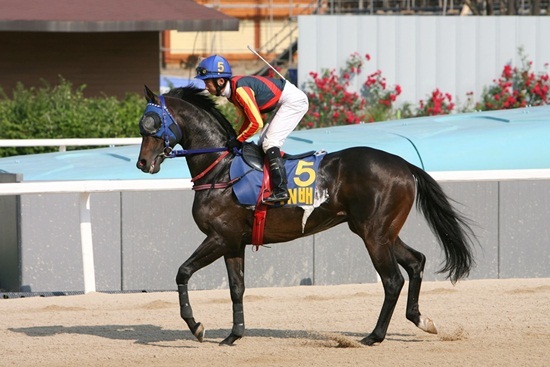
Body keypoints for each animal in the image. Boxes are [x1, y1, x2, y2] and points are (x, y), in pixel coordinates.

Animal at [136, 85, 476, 348]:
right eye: (142, 125)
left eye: (152, 123)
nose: (143, 163)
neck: (220, 169)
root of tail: (404, 164)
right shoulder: (233, 242)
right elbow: (236, 289)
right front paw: (234, 335)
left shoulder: (219, 237)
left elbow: (182, 272)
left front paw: (196, 326)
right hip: (382, 231)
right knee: (416, 262)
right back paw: (421, 320)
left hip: (374, 235)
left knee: (392, 280)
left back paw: (374, 336)